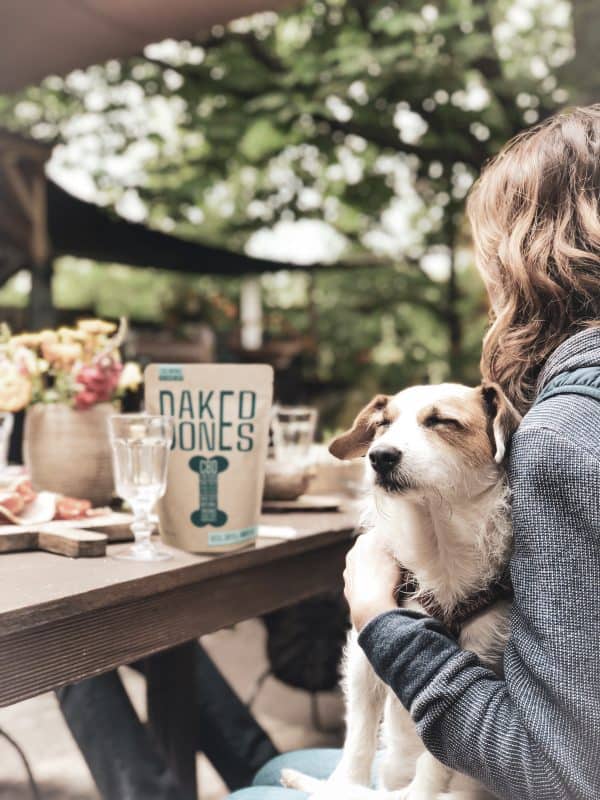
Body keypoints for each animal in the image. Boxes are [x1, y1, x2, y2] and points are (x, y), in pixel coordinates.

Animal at [282, 382, 520, 800]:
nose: (380, 456)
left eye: (442, 421)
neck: (437, 541)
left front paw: (421, 789)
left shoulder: (478, 655)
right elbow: (359, 735)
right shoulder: (364, 654)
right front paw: (345, 781)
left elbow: (438, 757)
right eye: (383, 424)